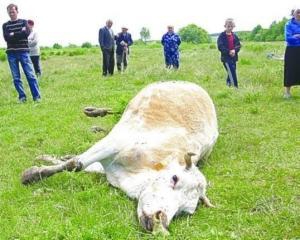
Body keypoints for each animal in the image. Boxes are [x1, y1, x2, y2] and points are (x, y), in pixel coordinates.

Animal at [21, 80, 218, 234]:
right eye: (175, 178)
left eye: (185, 211)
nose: (160, 220)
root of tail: (195, 86)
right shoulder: (115, 141)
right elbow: (75, 164)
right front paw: (32, 174)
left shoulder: (107, 164)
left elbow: (75, 162)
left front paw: (47, 158)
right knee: (117, 110)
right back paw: (94, 111)